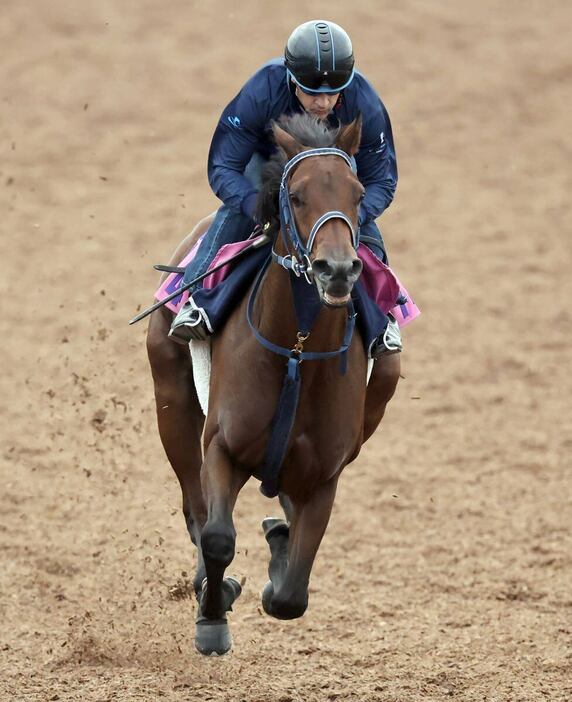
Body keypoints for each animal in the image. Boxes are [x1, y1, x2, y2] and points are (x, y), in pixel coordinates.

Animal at [145, 113, 400, 656]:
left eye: (357, 194)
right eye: (297, 196)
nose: (337, 269)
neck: (297, 352)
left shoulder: (325, 475)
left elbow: (291, 596)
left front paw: (280, 549)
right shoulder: (222, 447)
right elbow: (217, 536)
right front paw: (213, 615)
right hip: (171, 402)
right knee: (195, 508)